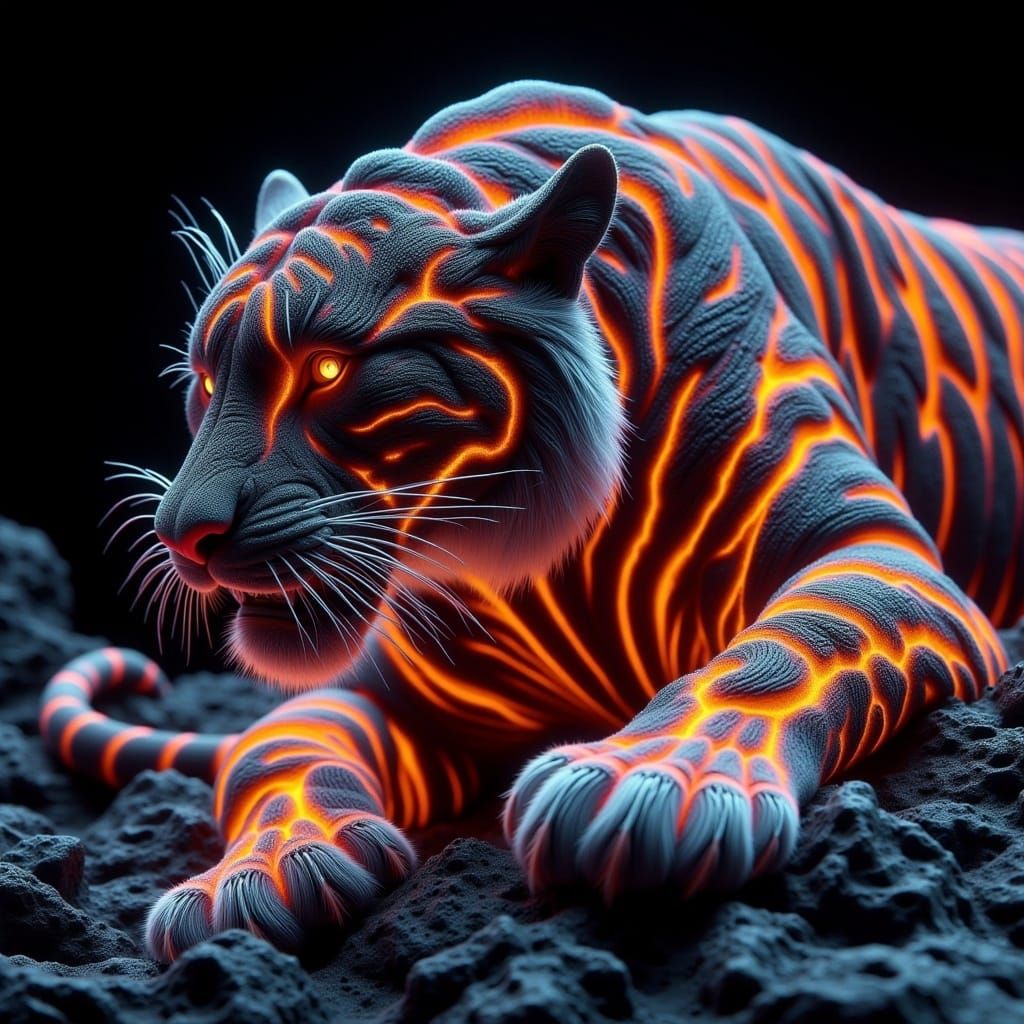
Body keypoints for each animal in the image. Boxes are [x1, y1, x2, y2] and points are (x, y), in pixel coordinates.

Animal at [39, 80, 1021, 963]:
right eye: (205, 380)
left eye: (324, 370)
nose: (182, 533)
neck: (534, 570)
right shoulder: (375, 693)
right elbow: (270, 752)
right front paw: (254, 878)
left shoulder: (878, 556)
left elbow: (784, 648)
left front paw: (650, 787)